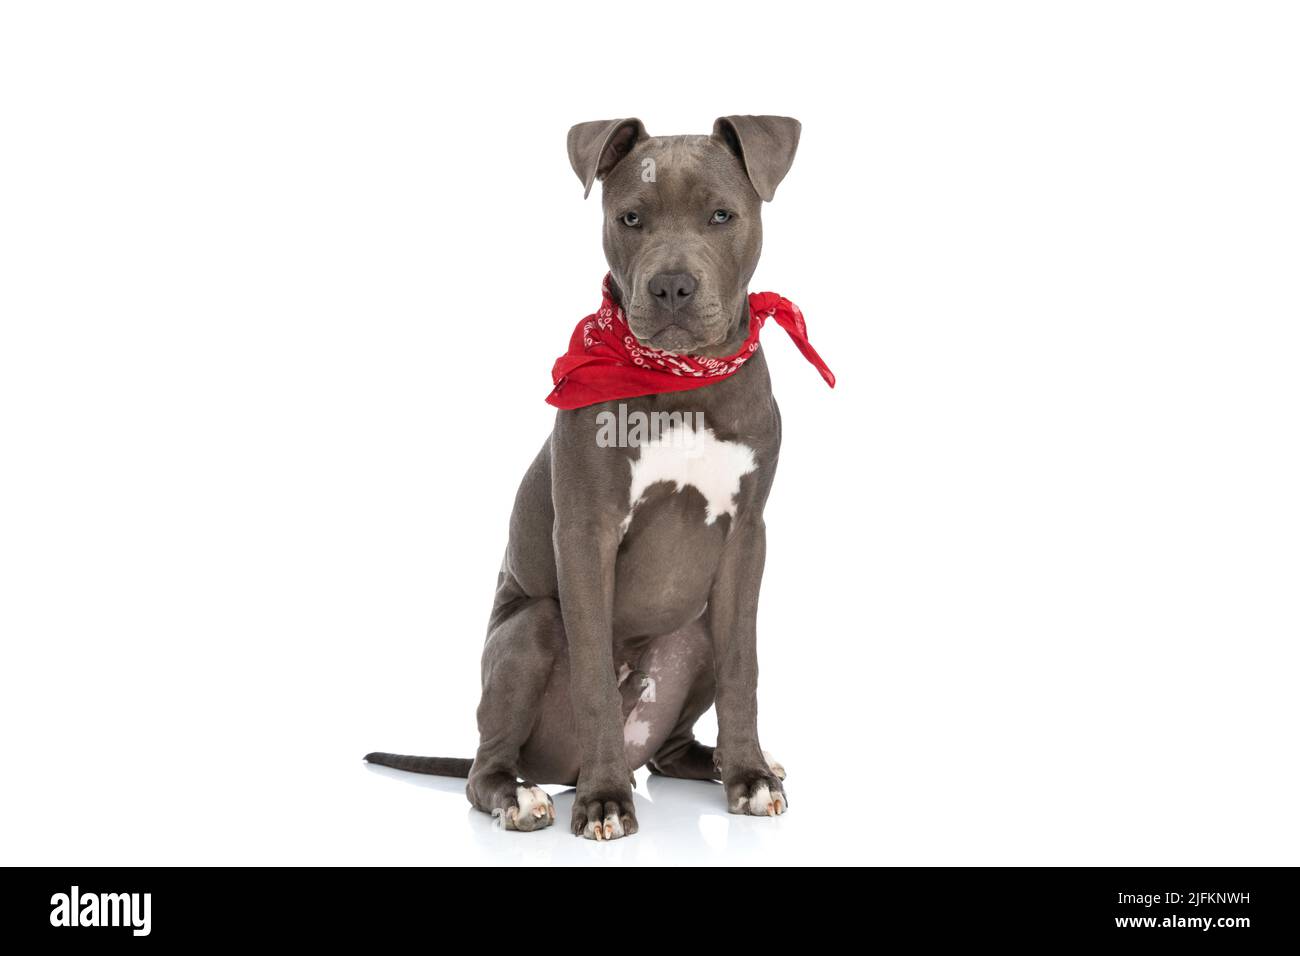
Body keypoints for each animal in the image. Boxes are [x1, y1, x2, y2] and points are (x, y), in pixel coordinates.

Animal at [366, 115, 816, 842]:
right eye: (630, 217)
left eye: (722, 215)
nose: (671, 286)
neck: (680, 380)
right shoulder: (585, 533)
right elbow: (596, 683)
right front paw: (606, 801)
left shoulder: (748, 535)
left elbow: (744, 665)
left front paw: (749, 777)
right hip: (531, 627)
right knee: (484, 767)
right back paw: (523, 795)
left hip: (696, 629)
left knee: (670, 752)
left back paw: (723, 762)